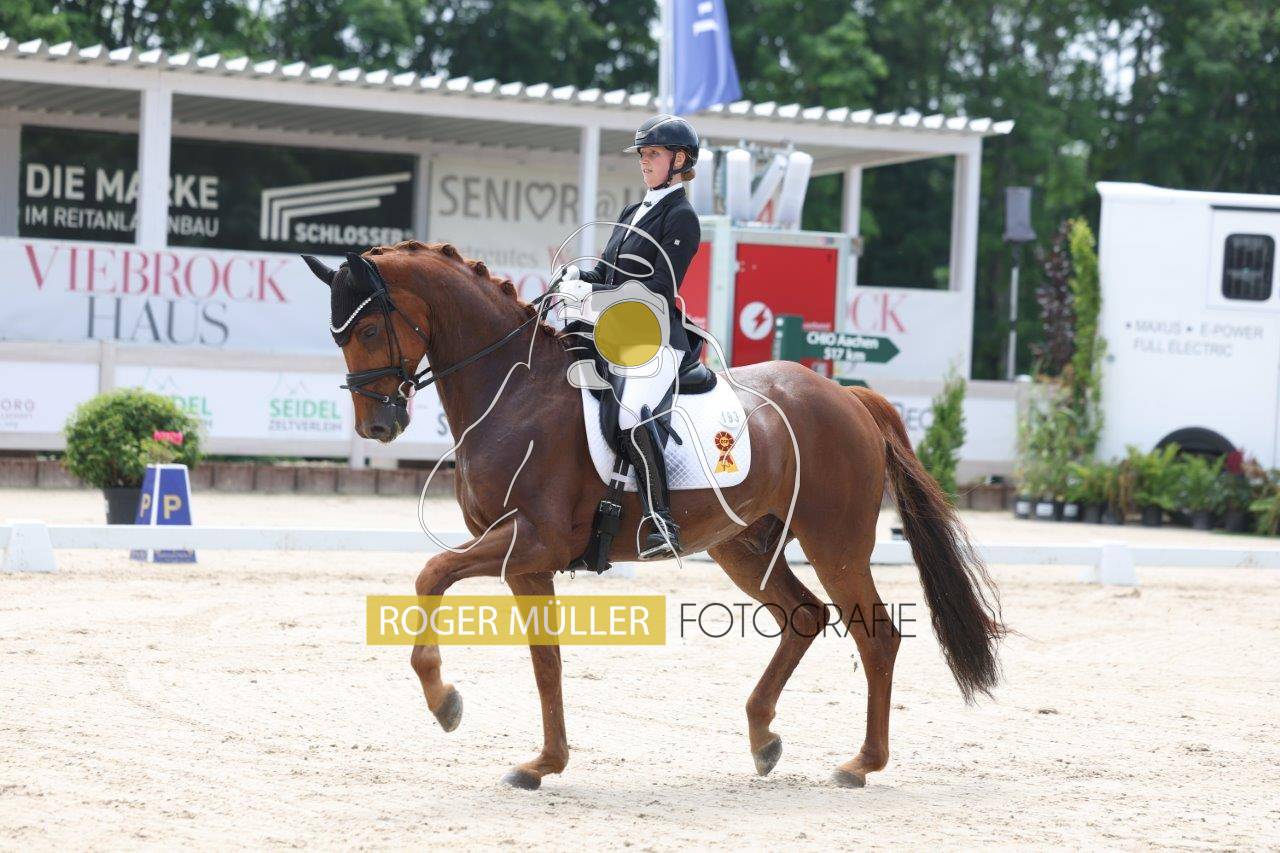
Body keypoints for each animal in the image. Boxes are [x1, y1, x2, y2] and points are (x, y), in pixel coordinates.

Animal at [302, 240, 1004, 790]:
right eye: (336, 336)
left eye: (369, 330)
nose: (377, 426)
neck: (514, 390)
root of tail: (848, 396)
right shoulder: (526, 563)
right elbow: (546, 660)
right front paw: (543, 763)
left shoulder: (531, 542)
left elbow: (431, 573)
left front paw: (445, 701)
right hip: (741, 545)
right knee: (803, 616)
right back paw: (763, 739)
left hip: (835, 542)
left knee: (875, 633)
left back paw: (861, 763)